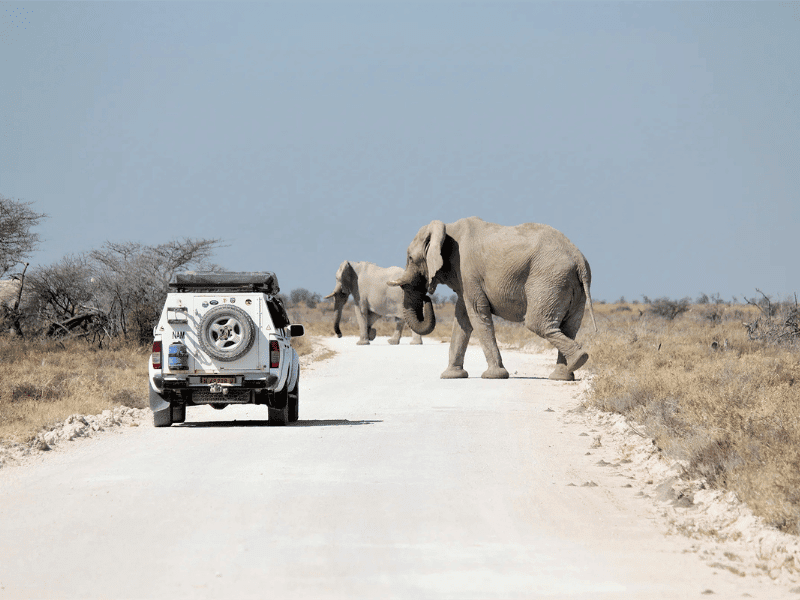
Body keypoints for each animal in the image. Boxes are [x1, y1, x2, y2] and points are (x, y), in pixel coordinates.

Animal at [388, 217, 597, 380]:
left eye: (410, 258)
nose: (427, 299)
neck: (448, 229)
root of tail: (579, 259)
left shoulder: (467, 271)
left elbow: (476, 314)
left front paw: (494, 375)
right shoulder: (464, 279)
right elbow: (462, 318)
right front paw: (451, 376)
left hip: (548, 279)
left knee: (538, 323)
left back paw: (579, 360)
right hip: (570, 285)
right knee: (568, 327)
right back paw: (564, 374)